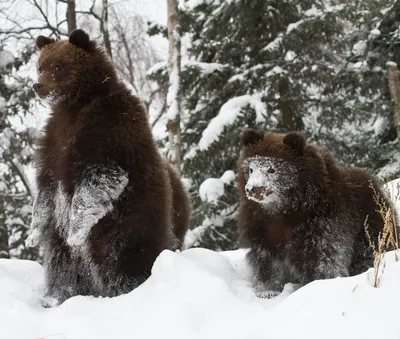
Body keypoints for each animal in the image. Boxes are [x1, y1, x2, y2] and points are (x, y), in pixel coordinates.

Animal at [25, 29, 191, 306]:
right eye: (40, 65)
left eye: (58, 66)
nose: (38, 85)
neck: (75, 105)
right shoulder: (52, 144)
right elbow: (46, 190)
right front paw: (33, 233)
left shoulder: (109, 131)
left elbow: (99, 179)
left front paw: (76, 230)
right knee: (62, 262)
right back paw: (57, 296)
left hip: (130, 222)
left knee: (124, 259)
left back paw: (126, 290)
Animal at [238, 129, 394, 296]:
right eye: (251, 168)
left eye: (271, 169)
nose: (253, 188)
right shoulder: (262, 227)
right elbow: (267, 261)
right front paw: (267, 290)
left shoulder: (322, 222)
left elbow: (324, 258)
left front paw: (317, 285)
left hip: (370, 221)